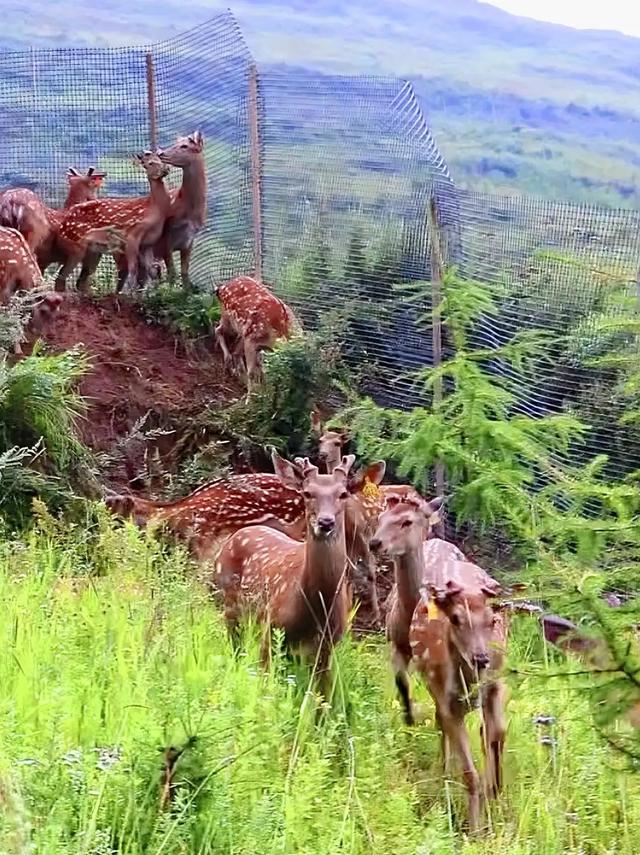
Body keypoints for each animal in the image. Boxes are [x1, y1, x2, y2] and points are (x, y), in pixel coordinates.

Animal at [154, 129, 206, 286]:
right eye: (176, 143)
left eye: (185, 146)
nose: (160, 152)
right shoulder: (165, 239)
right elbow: (172, 273)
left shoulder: (189, 241)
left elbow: (184, 273)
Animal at [214, 452, 356, 684]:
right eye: (307, 493)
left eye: (343, 494)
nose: (326, 522)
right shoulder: (271, 627)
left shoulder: (327, 646)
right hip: (231, 605)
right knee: (236, 649)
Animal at [370, 494, 510, 836]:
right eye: (379, 519)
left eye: (406, 521)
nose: (374, 542)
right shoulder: (399, 650)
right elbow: (406, 689)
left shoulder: (494, 683)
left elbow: (495, 733)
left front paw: (493, 797)